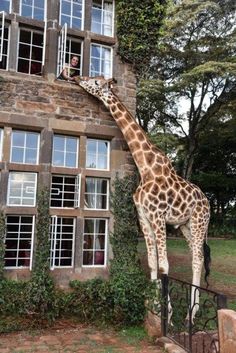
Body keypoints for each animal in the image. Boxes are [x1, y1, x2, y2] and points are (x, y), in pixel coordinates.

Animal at [75, 75, 210, 320]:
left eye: (97, 82)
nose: (76, 77)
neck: (146, 168)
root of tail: (208, 202)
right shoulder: (143, 217)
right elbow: (152, 262)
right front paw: (155, 306)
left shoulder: (158, 216)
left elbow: (164, 264)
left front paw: (168, 314)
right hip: (185, 226)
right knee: (198, 258)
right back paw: (192, 312)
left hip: (198, 222)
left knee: (197, 259)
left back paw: (191, 315)